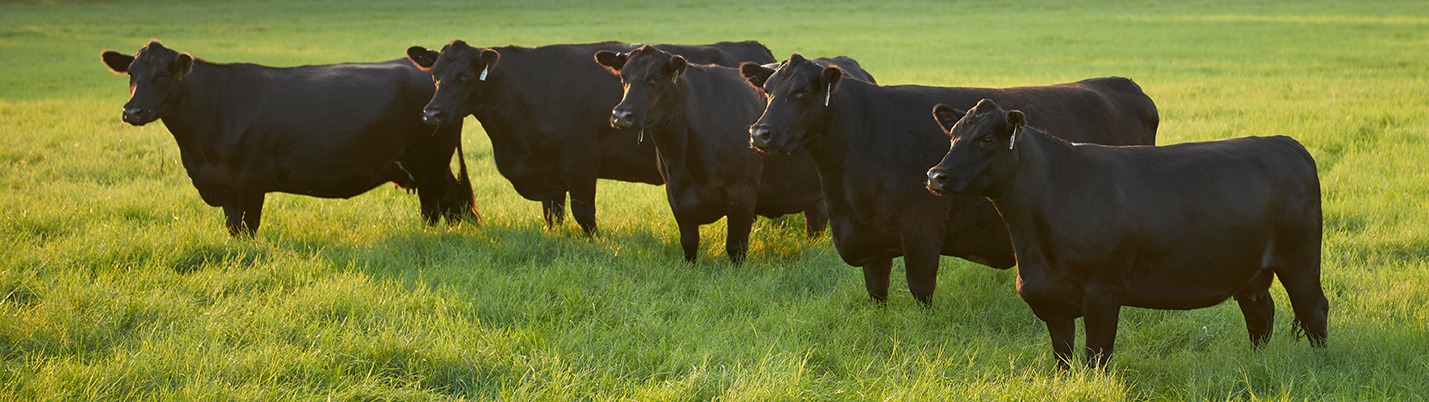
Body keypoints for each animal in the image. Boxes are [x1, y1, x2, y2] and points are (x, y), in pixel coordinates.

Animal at [103, 40, 480, 234]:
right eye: (132, 73)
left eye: (164, 74)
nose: (132, 111)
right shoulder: (223, 188)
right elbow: (232, 228)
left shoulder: (250, 182)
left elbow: (247, 228)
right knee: (452, 203)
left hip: (430, 163)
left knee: (437, 206)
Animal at [408, 39, 777, 234]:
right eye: (435, 73)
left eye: (466, 75)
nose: (431, 113)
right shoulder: (550, 174)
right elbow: (553, 213)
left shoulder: (581, 164)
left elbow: (584, 214)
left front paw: (595, 243)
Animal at [591, 44, 834, 263]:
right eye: (623, 77)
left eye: (656, 78)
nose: (622, 115)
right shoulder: (676, 194)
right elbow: (689, 242)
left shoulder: (742, 193)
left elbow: (735, 246)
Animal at [743, 54, 1154, 303]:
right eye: (768, 90)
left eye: (801, 91)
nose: (759, 133)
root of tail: (1122, 83)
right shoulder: (871, 240)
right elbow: (877, 292)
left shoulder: (922, 232)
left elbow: (921, 289)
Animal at [925, 98, 1326, 369]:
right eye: (953, 135)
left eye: (986, 140)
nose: (935, 176)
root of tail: (1287, 143)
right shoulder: (1050, 298)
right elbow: (1063, 358)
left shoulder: (1103, 293)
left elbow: (1096, 357)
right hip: (1251, 270)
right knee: (1260, 314)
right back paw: (1256, 361)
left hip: (1300, 258)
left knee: (1314, 309)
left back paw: (1322, 361)